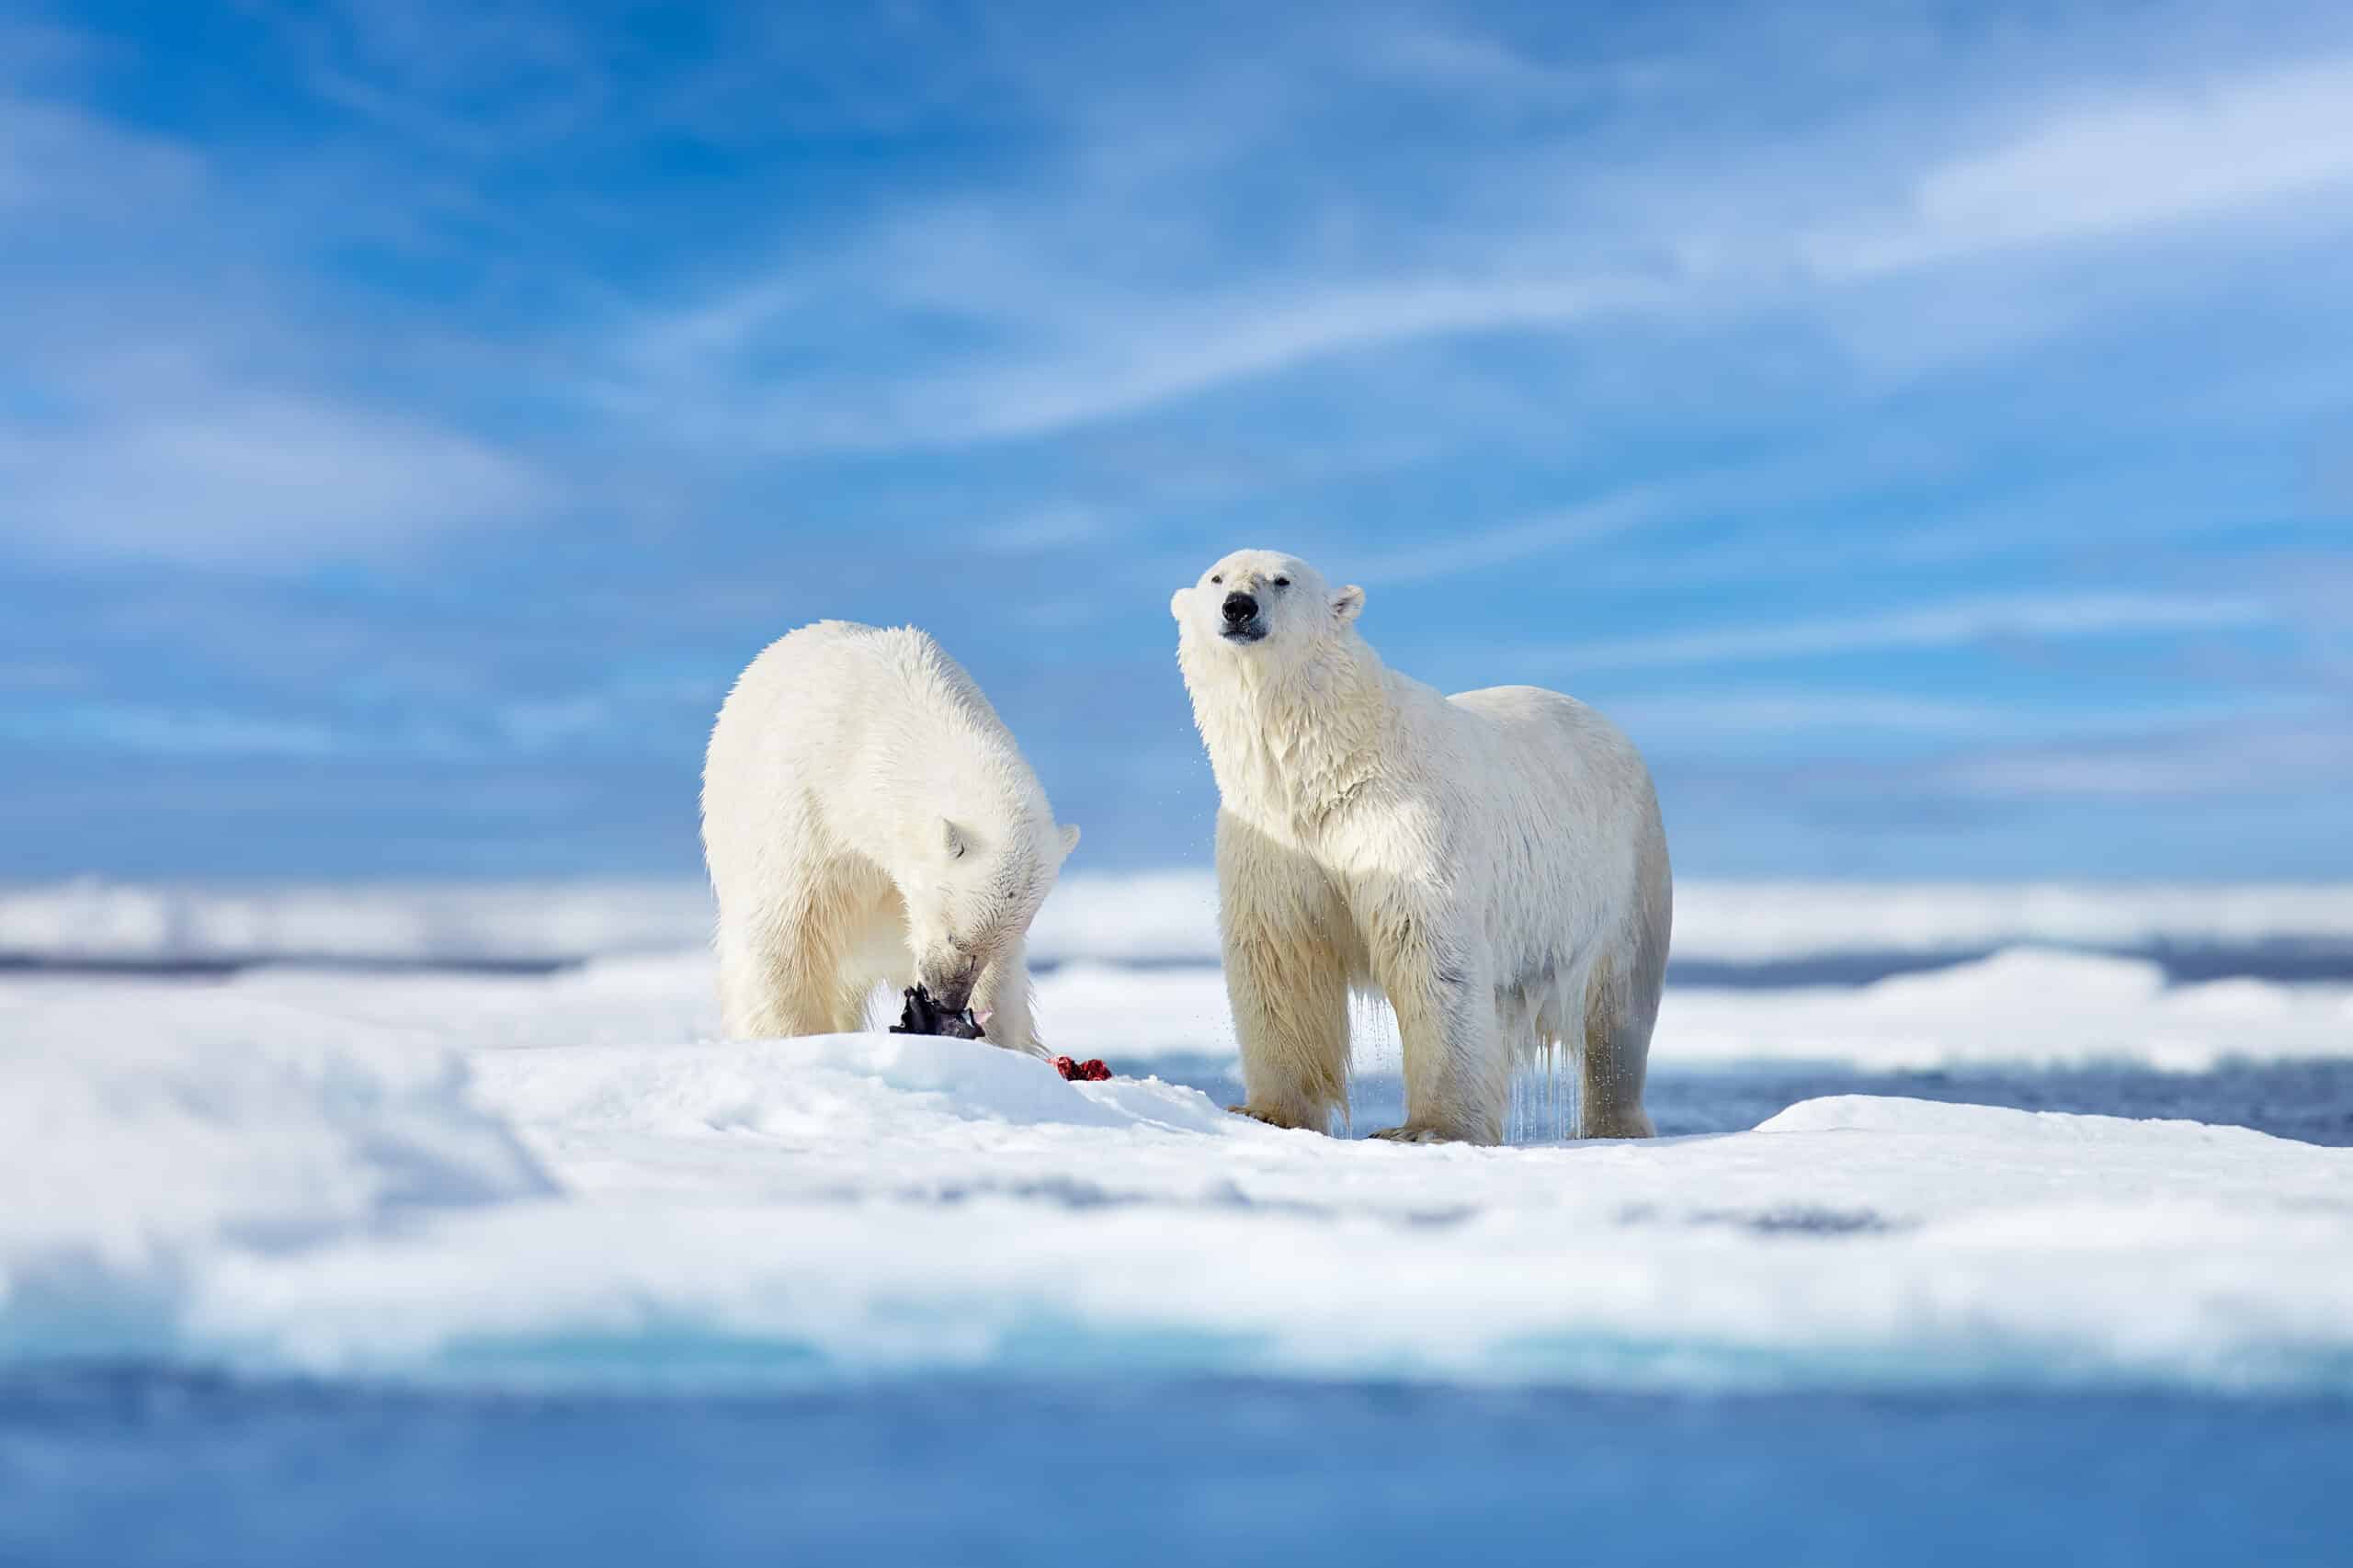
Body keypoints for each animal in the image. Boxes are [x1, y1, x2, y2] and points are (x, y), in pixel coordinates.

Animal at [700, 621, 1080, 1056]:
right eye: (953, 935)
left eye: (998, 944)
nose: (947, 999)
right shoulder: (805, 821)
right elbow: (783, 943)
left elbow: (1001, 988)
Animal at [1171, 549, 1671, 1145]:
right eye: (1216, 578)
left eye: (1282, 580)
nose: (1239, 607)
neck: (1330, 766)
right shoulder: (1272, 839)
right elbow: (1280, 956)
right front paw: (1267, 1112)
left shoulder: (1404, 827)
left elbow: (1430, 954)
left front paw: (1429, 1129)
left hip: (1625, 872)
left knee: (1619, 1013)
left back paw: (1613, 1125)